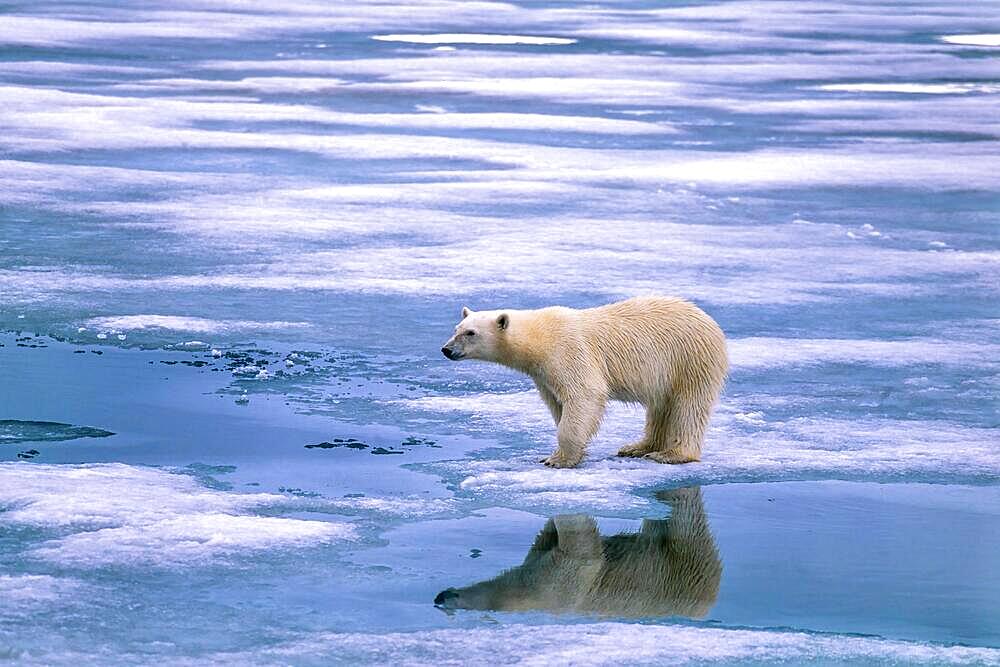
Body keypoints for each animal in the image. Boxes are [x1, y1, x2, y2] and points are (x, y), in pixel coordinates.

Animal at [434, 486, 724, 620]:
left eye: (460, 600)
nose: (441, 595)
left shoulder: (564, 583)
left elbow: (582, 551)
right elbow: (545, 540)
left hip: (683, 568)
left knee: (684, 523)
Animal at [440, 298, 728, 470]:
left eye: (471, 333)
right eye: (456, 328)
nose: (446, 349)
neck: (539, 338)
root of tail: (711, 322)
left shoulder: (569, 352)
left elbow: (584, 396)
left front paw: (557, 459)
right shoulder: (543, 375)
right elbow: (557, 404)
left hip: (689, 359)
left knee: (688, 405)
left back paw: (671, 454)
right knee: (659, 407)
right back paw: (637, 447)